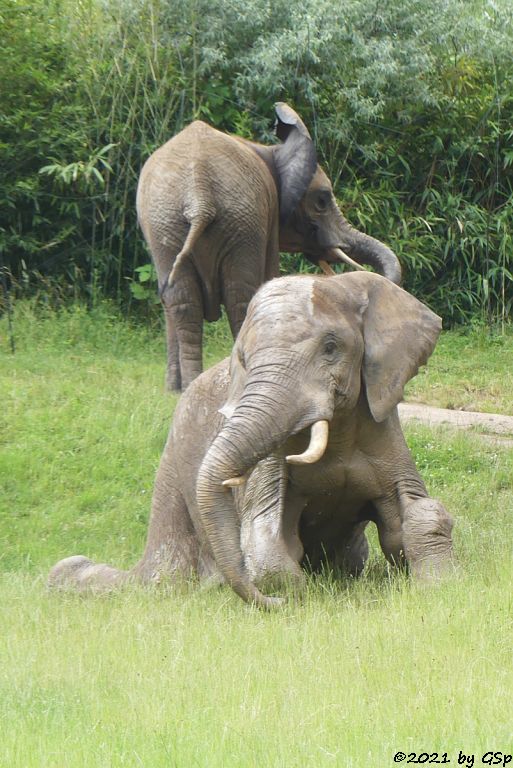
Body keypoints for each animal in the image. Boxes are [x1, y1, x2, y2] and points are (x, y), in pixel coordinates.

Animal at [50, 272, 454, 608]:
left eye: (331, 346)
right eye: (243, 358)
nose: (274, 603)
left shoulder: (382, 426)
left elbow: (408, 519)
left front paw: (437, 584)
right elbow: (264, 530)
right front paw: (293, 593)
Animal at [138, 102, 402, 390]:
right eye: (322, 200)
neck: (270, 150)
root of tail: (198, 194)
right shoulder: (270, 213)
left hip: (168, 220)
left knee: (181, 298)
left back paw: (187, 386)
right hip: (236, 219)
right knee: (240, 296)